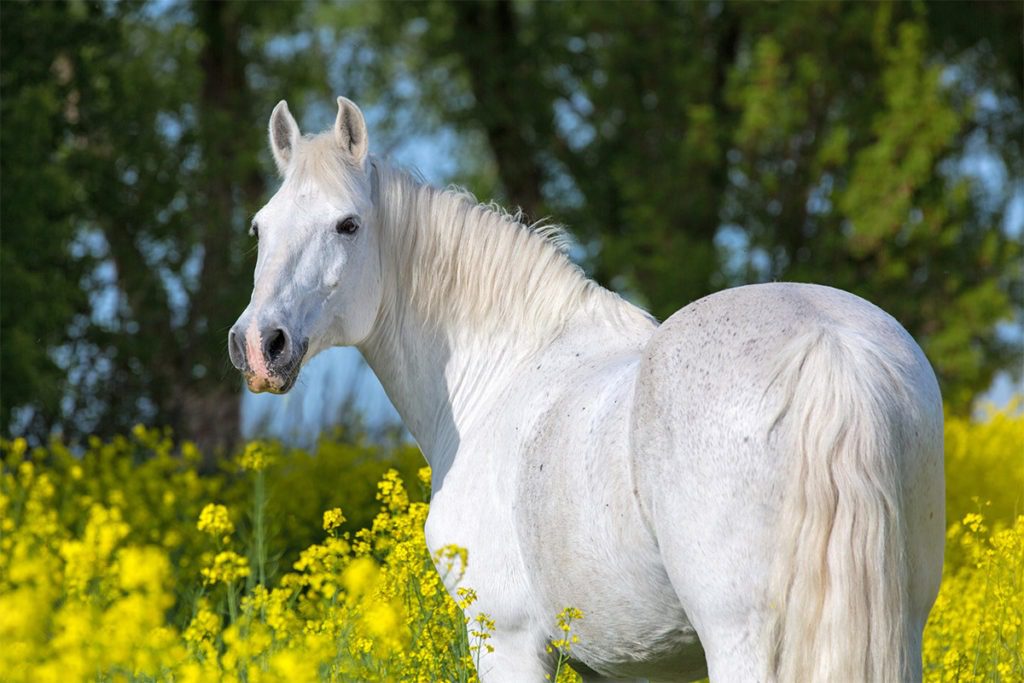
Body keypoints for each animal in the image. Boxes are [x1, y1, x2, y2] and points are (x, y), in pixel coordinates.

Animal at [228, 97, 945, 682]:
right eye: (259, 227)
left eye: (348, 225)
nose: (260, 347)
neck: (503, 371)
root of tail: (828, 345)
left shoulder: (508, 645)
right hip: (901, 626)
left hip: (743, 642)